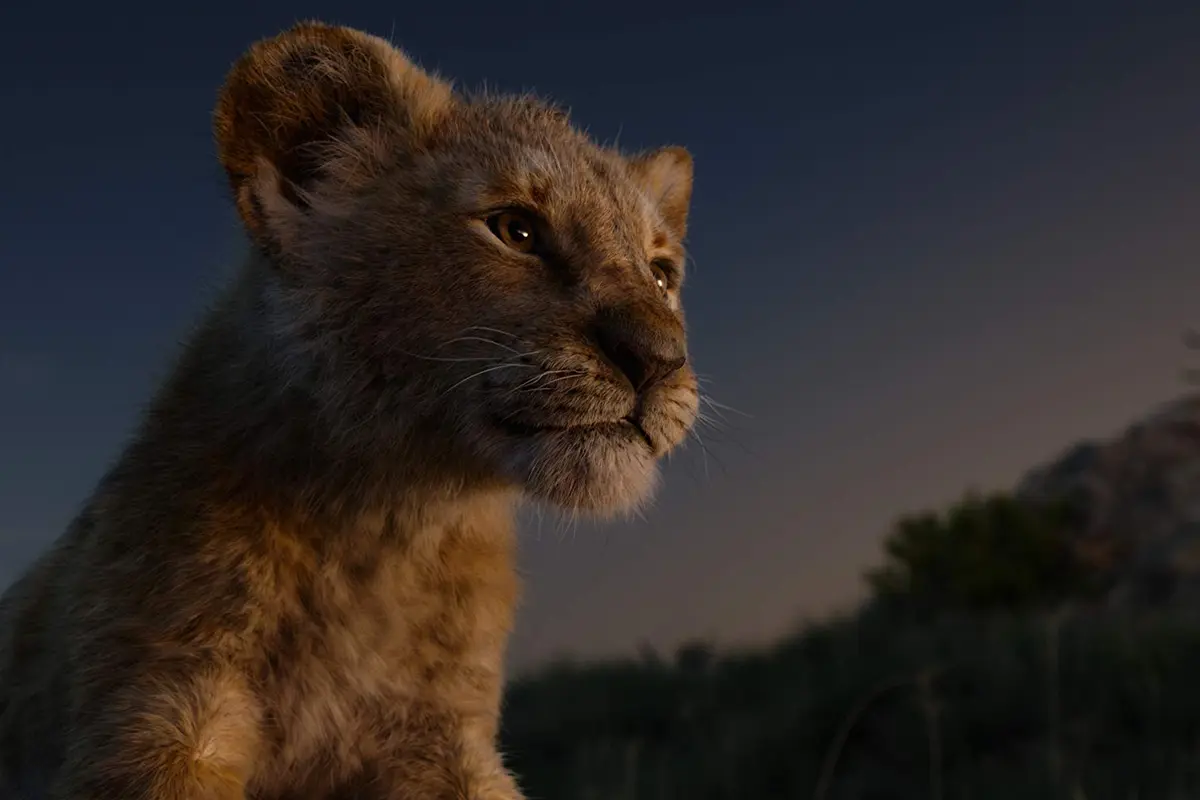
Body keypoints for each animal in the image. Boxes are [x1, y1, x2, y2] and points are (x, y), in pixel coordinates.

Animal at [0, 21, 699, 799]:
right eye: (516, 230)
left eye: (662, 274)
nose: (661, 358)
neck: (384, 527)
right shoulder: (156, 703)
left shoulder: (442, 735)